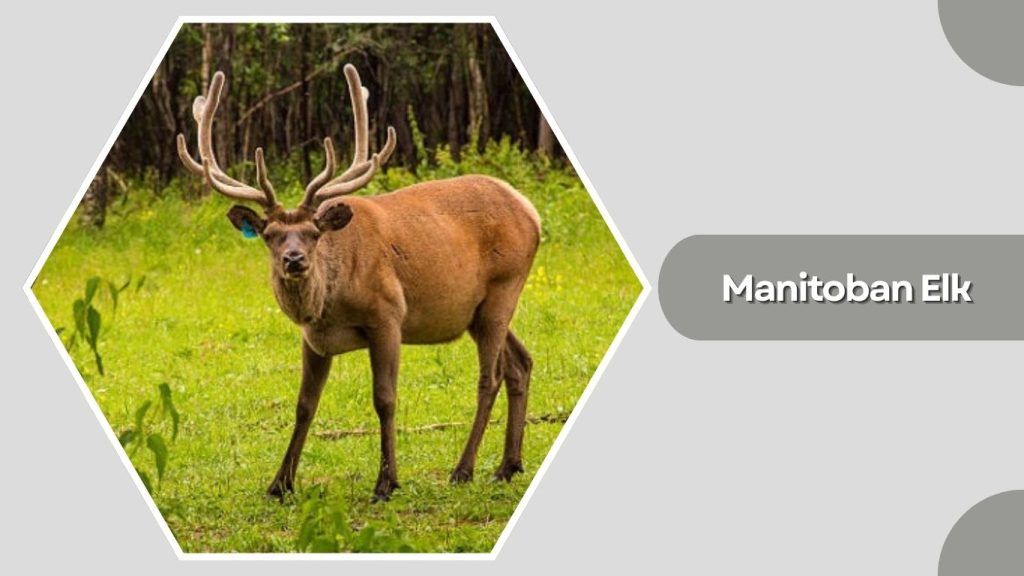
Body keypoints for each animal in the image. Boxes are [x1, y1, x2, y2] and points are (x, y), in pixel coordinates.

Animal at [175, 64, 540, 502]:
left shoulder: (387, 315)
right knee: (520, 362)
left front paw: (386, 482)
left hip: (504, 287)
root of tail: (532, 212)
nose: (294, 260)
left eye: (313, 233)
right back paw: (507, 466)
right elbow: (304, 404)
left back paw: (464, 469)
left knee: (491, 376)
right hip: (477, 309)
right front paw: (280, 483)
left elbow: (385, 399)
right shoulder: (313, 339)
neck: (328, 305)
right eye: (271, 235)